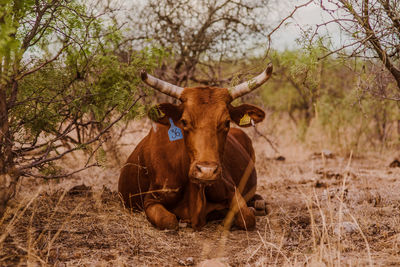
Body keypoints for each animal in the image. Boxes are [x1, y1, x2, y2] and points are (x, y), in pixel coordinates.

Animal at [117, 63, 274, 231]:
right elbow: (169, 221)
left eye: (227, 122)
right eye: (184, 121)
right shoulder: (151, 200)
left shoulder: (232, 189)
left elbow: (247, 218)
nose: (206, 171)